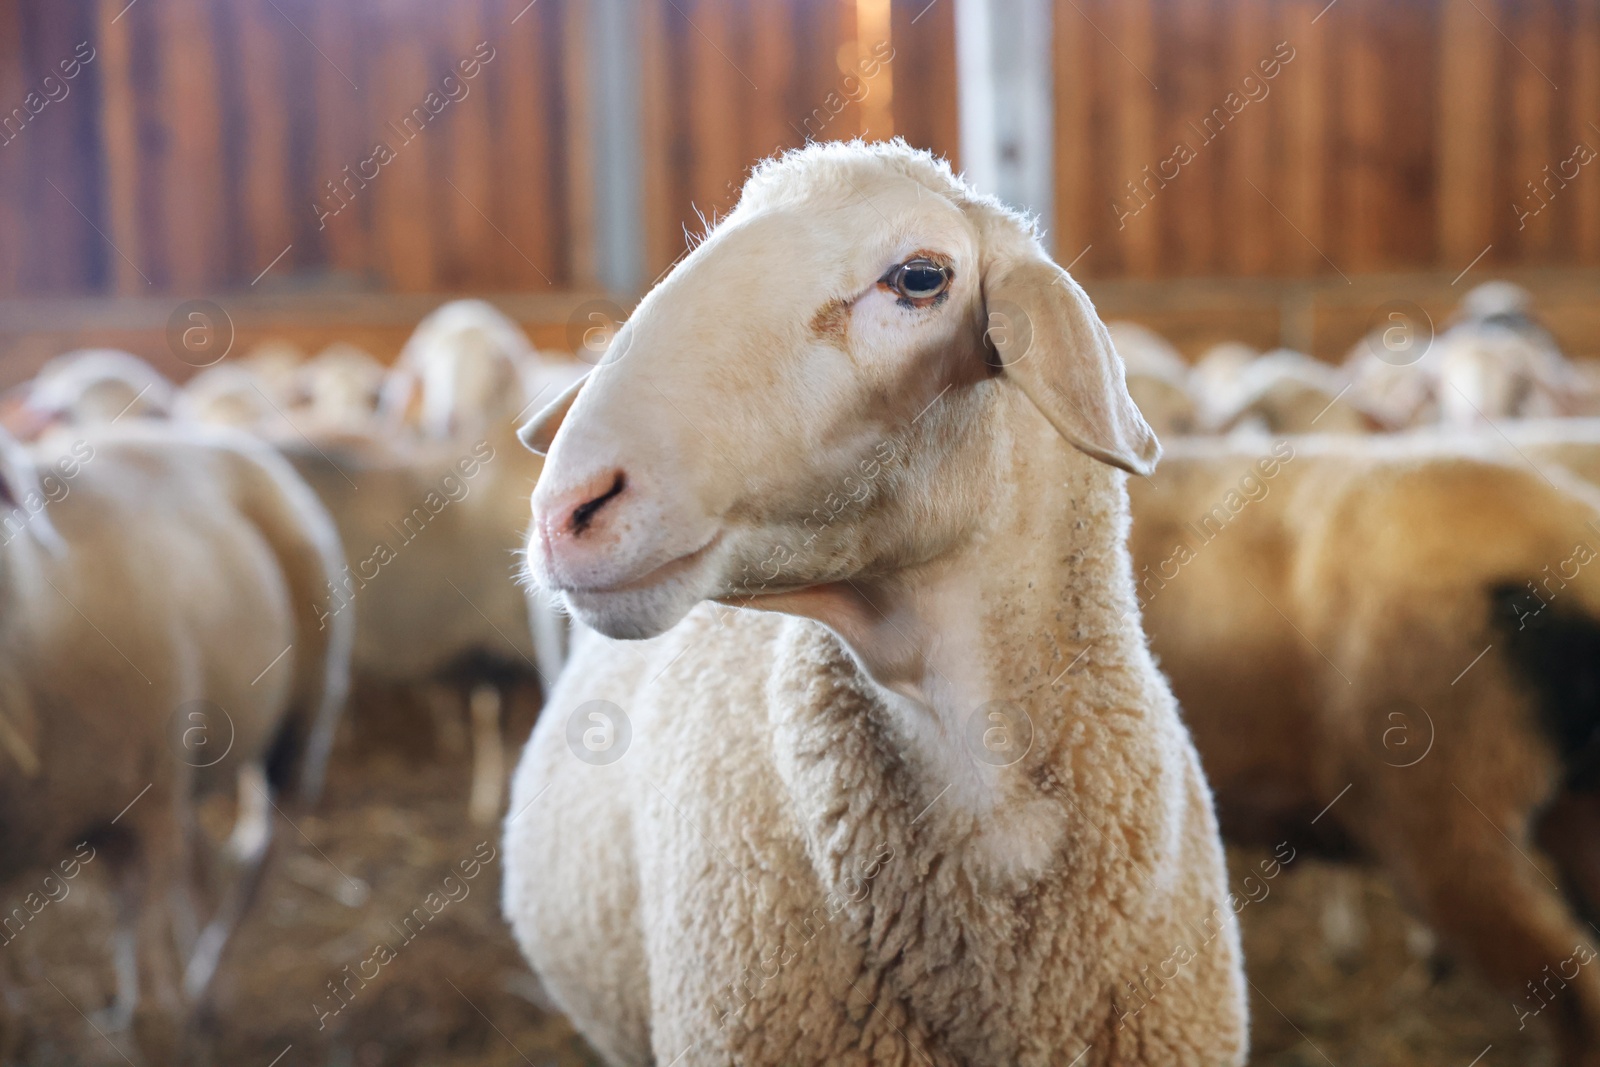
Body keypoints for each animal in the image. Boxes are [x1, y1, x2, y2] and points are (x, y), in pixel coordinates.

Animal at [0, 419, 350, 1062]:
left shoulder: (147, 802)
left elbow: (143, 942)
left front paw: (156, 1020)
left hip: (300, 721)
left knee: (260, 854)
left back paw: (207, 987)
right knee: (202, 861)